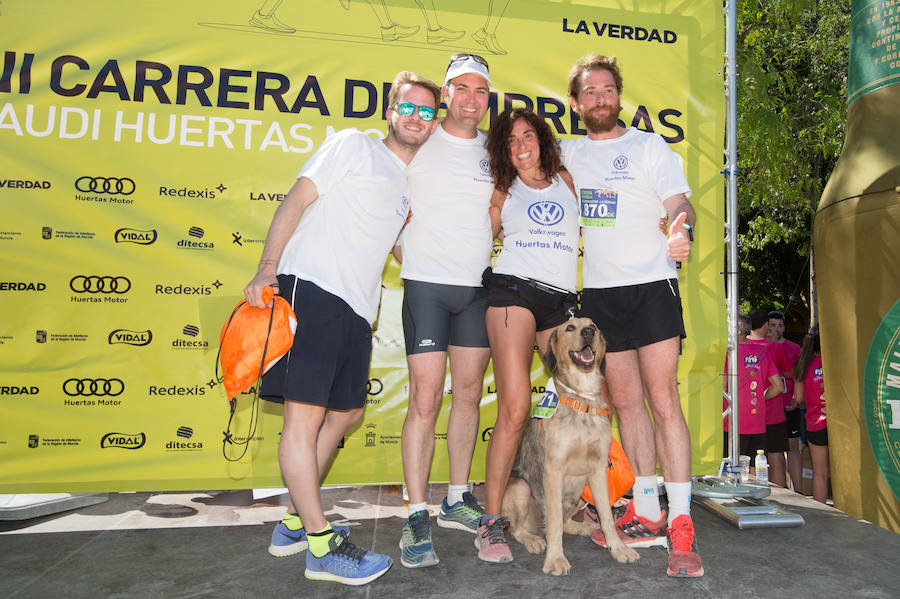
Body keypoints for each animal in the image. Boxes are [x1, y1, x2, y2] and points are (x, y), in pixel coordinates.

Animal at [500, 318, 640, 576]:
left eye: (594, 325)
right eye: (570, 328)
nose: (588, 332)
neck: (583, 398)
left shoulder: (597, 469)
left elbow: (606, 515)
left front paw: (618, 548)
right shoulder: (553, 470)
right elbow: (554, 522)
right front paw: (555, 559)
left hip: (580, 493)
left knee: (565, 523)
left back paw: (584, 527)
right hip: (520, 488)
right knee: (519, 528)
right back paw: (533, 539)